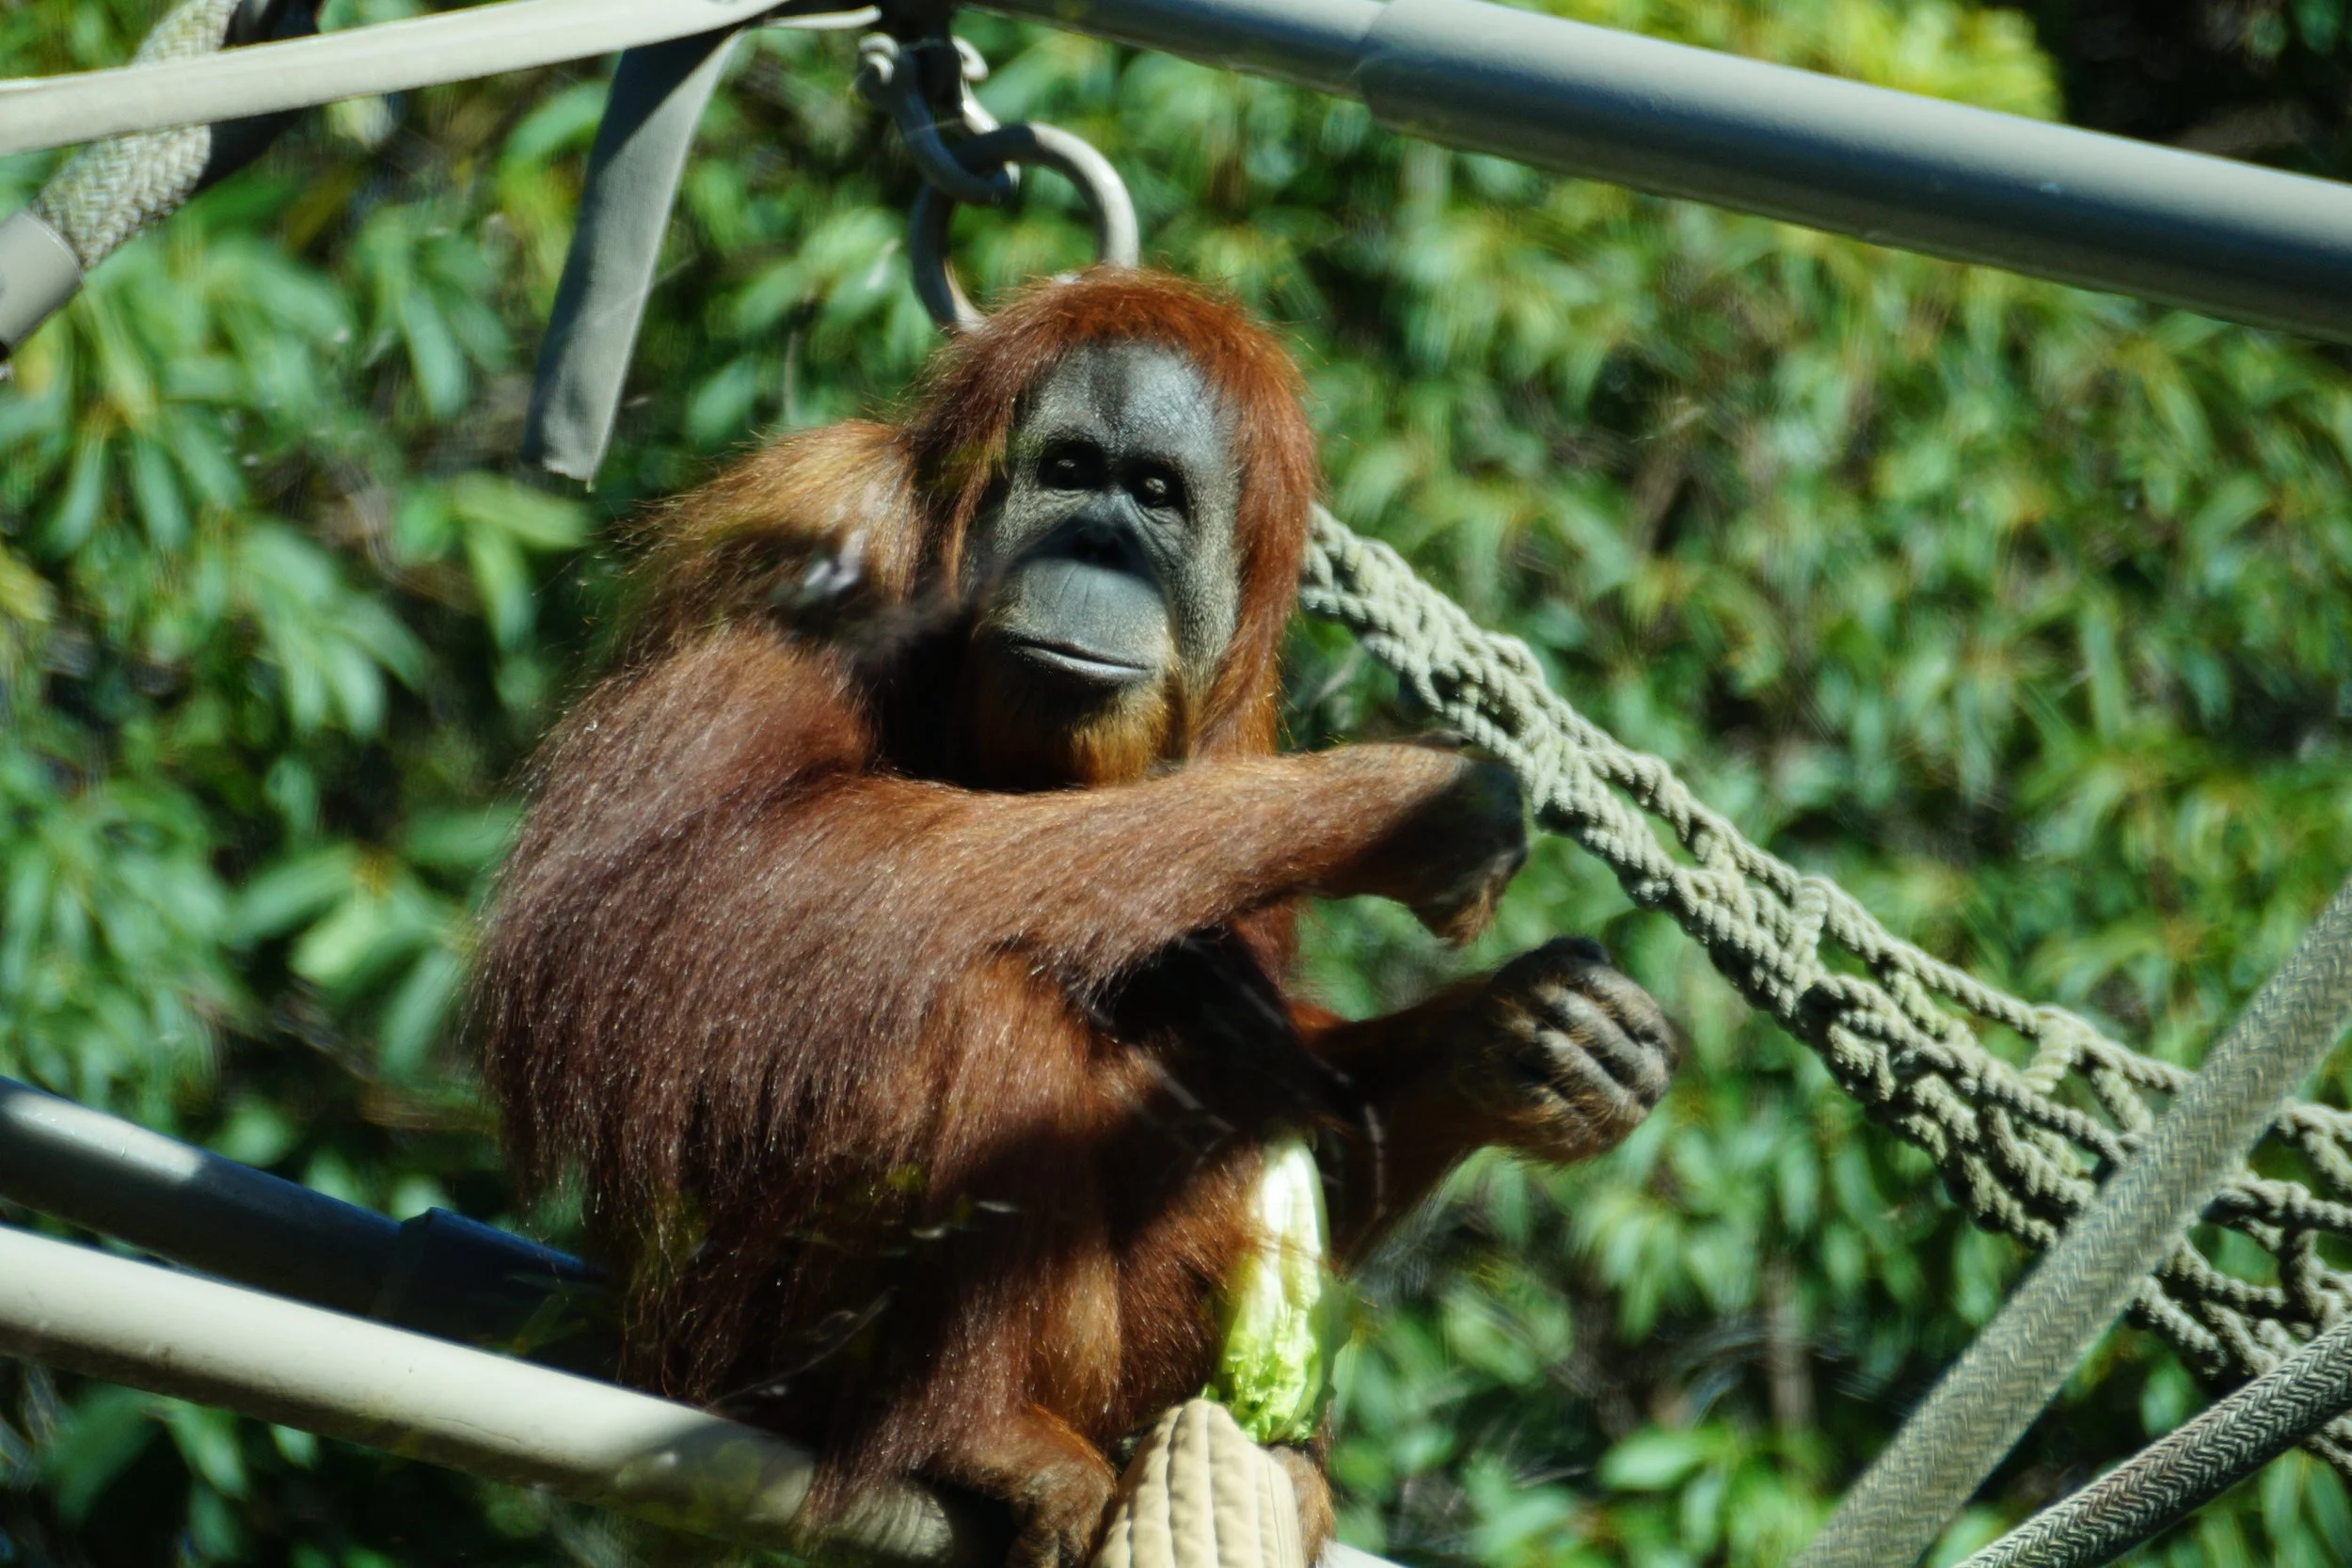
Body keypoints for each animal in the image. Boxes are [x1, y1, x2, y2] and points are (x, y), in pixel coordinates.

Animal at [476, 268, 1680, 1568]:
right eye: (1066, 472)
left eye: (1152, 493)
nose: (1095, 544)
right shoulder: (812, 523)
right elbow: (639, 909)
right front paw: (1402, 801)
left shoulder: (1240, 697)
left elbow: (1297, 1098)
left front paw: (1535, 1040)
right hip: (736, 1346)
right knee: (970, 998)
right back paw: (976, 1435)